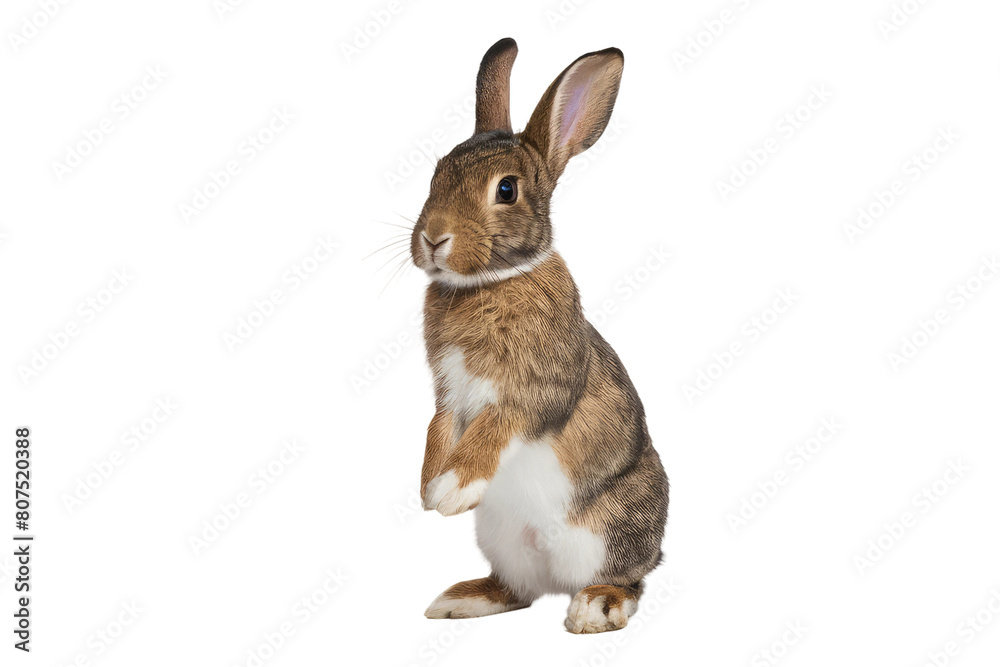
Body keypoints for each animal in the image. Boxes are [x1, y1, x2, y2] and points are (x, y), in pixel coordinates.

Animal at [410, 37, 668, 634]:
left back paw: (595, 607)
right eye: (436, 174)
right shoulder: (449, 392)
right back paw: (460, 599)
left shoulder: (534, 390)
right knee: (518, 589)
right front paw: (429, 489)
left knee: (630, 579)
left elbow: (495, 429)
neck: (489, 281)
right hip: (502, 542)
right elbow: (439, 430)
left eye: (506, 190)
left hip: (611, 531)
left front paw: (450, 490)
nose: (433, 238)